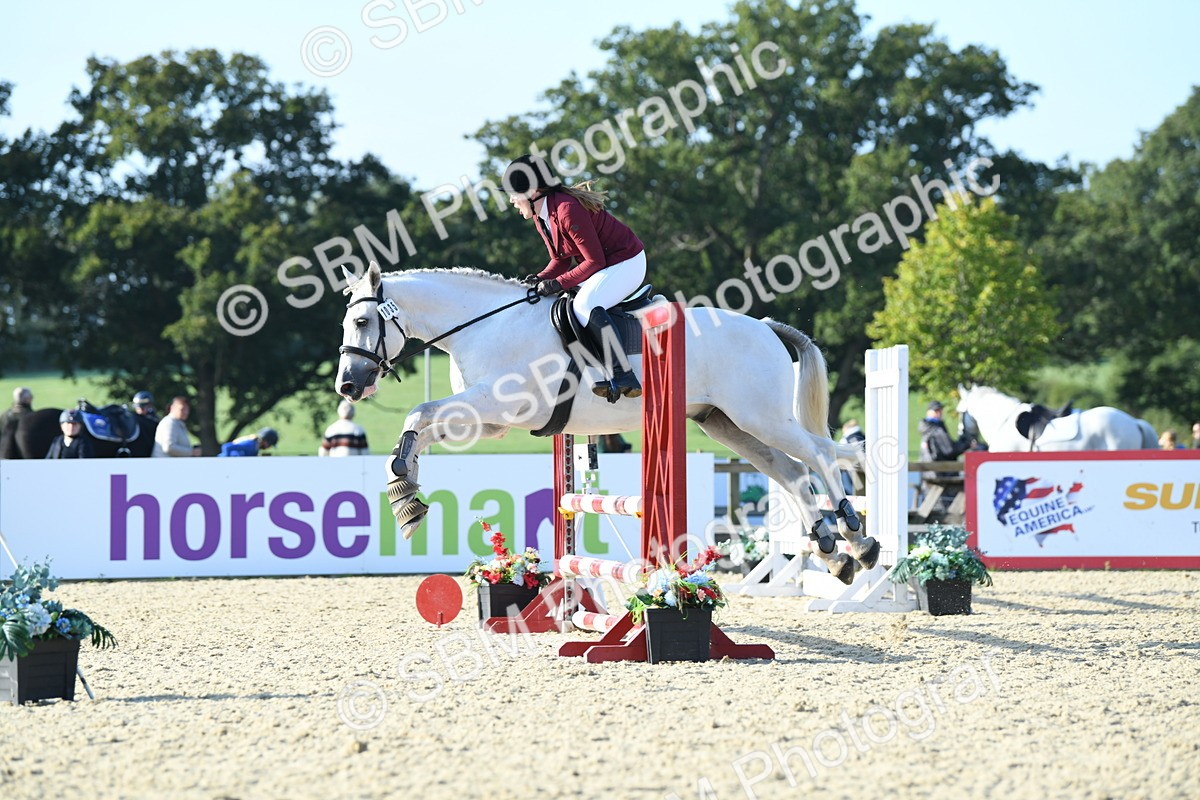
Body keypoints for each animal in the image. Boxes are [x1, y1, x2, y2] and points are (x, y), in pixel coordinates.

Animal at [335, 262, 877, 584]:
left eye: (362, 322)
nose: (347, 385)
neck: (483, 325)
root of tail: (765, 327)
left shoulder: (490, 404)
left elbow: (419, 413)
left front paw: (404, 490)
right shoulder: (487, 422)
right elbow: (422, 425)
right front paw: (406, 495)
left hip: (760, 415)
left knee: (818, 456)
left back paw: (857, 535)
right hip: (725, 424)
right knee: (791, 472)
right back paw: (834, 551)